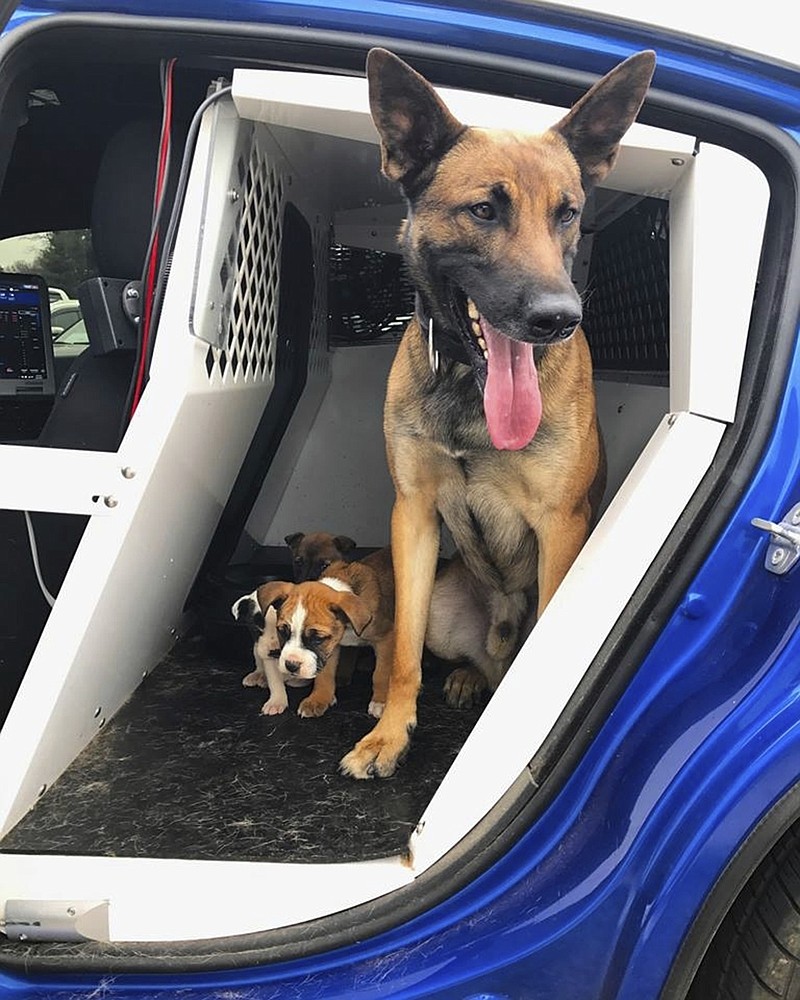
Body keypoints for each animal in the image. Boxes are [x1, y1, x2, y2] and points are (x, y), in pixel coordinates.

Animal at [338, 48, 656, 780]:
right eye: (483, 210)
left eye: (568, 215)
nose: (558, 319)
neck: (467, 381)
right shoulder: (414, 515)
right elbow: (402, 655)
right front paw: (390, 734)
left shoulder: (560, 526)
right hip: (444, 604)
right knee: (476, 659)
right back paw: (466, 677)